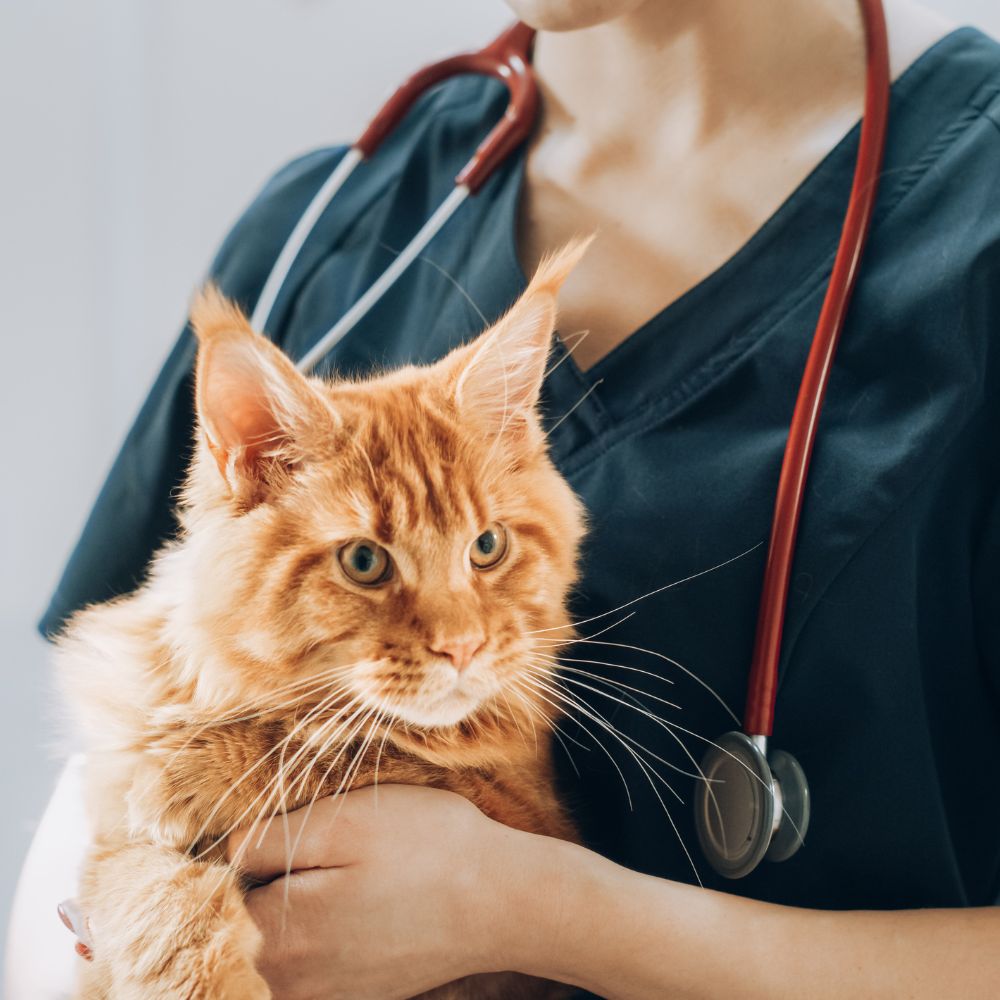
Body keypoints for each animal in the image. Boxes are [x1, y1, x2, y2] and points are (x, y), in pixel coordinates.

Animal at [58, 238, 588, 996]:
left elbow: (343, 748)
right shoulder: (110, 847)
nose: (462, 647)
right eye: (364, 561)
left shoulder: (525, 809)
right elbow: (154, 891)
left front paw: (197, 767)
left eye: (487, 547)